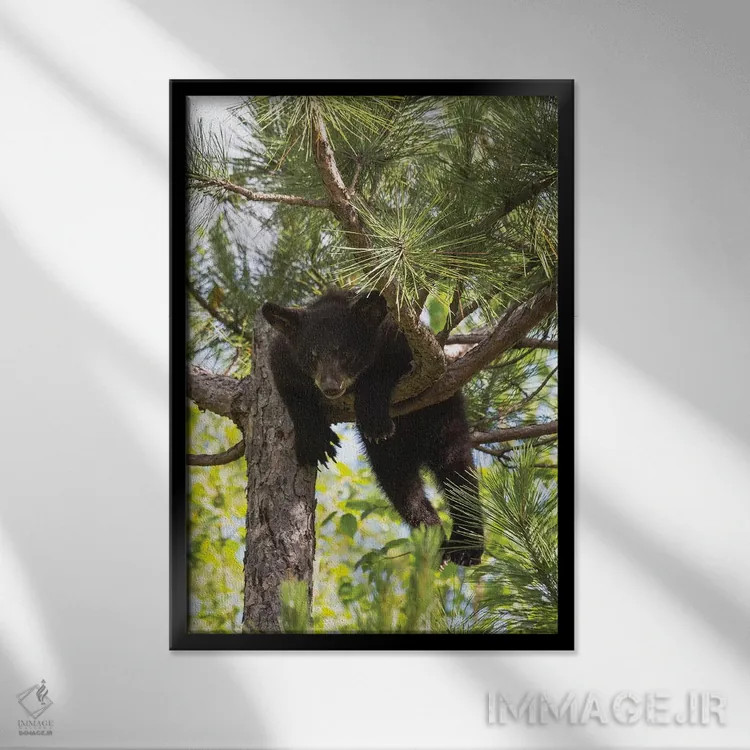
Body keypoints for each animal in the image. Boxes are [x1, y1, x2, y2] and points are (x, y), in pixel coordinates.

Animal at [261, 288, 483, 566]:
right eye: (312, 355)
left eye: (346, 353)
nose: (330, 386)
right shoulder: (284, 356)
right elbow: (290, 387)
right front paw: (315, 441)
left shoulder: (401, 342)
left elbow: (388, 371)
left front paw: (373, 415)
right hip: (390, 455)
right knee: (400, 484)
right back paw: (433, 536)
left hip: (443, 415)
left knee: (457, 471)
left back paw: (467, 548)